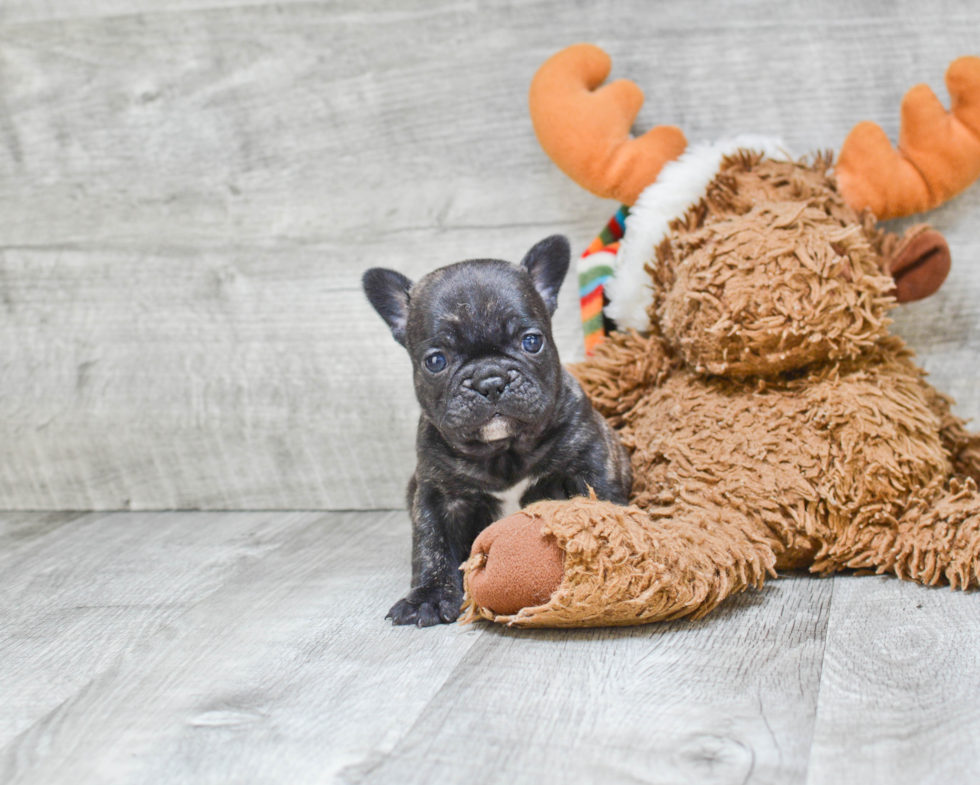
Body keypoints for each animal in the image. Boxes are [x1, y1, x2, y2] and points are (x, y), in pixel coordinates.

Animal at [364, 236, 632, 628]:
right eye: (435, 361)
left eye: (532, 341)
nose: (489, 380)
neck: (504, 450)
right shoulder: (436, 494)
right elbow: (432, 544)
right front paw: (429, 596)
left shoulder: (590, 462)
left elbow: (605, 513)